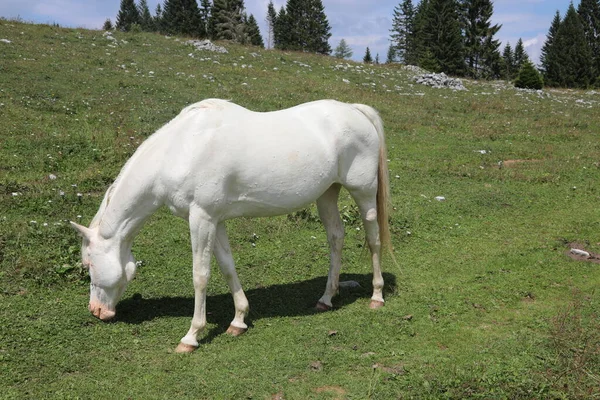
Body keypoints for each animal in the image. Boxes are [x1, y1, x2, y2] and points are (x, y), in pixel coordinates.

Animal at [70, 99, 394, 354]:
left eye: (89, 265)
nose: (97, 311)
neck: (180, 149)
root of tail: (354, 109)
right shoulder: (216, 220)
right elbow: (227, 267)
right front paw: (238, 320)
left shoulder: (201, 219)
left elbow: (200, 275)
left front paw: (191, 336)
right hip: (327, 194)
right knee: (336, 237)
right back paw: (326, 298)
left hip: (364, 194)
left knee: (373, 238)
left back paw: (376, 297)